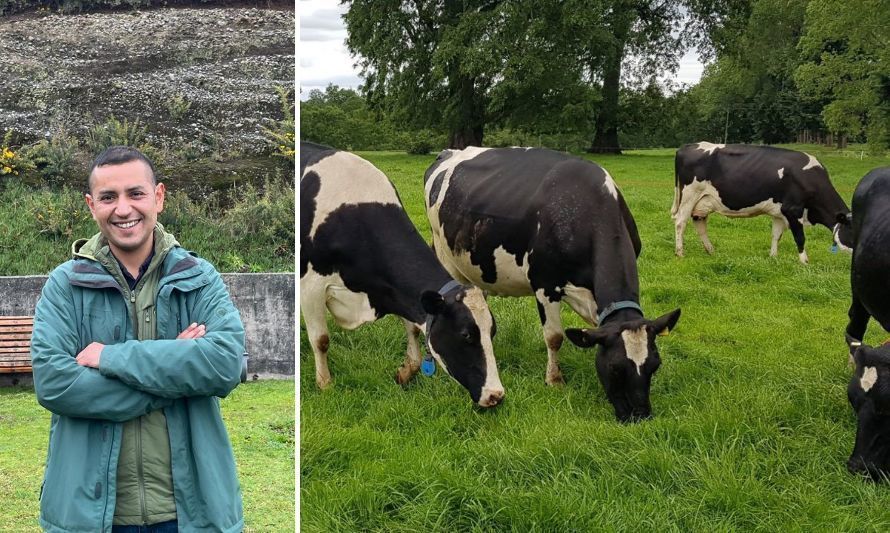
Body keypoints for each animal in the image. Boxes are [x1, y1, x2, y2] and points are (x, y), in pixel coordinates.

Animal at [300, 141, 502, 408]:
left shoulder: (398, 293)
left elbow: (414, 329)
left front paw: (406, 372)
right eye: (466, 335)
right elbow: (321, 340)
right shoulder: (310, 286)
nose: (496, 395)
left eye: (492, 331)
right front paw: (325, 385)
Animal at [424, 148, 680, 422]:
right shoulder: (544, 285)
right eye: (615, 368)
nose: (640, 416)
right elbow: (555, 337)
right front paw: (554, 380)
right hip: (444, 254)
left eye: (655, 365)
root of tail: (450, 151)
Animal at [668, 141, 848, 264]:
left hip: (703, 201)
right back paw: (680, 252)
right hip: (689, 195)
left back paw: (711, 250)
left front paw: (773, 257)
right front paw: (804, 262)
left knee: (699, 223)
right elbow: (800, 237)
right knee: (680, 222)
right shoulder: (793, 210)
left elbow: (776, 235)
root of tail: (687, 146)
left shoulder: (779, 212)